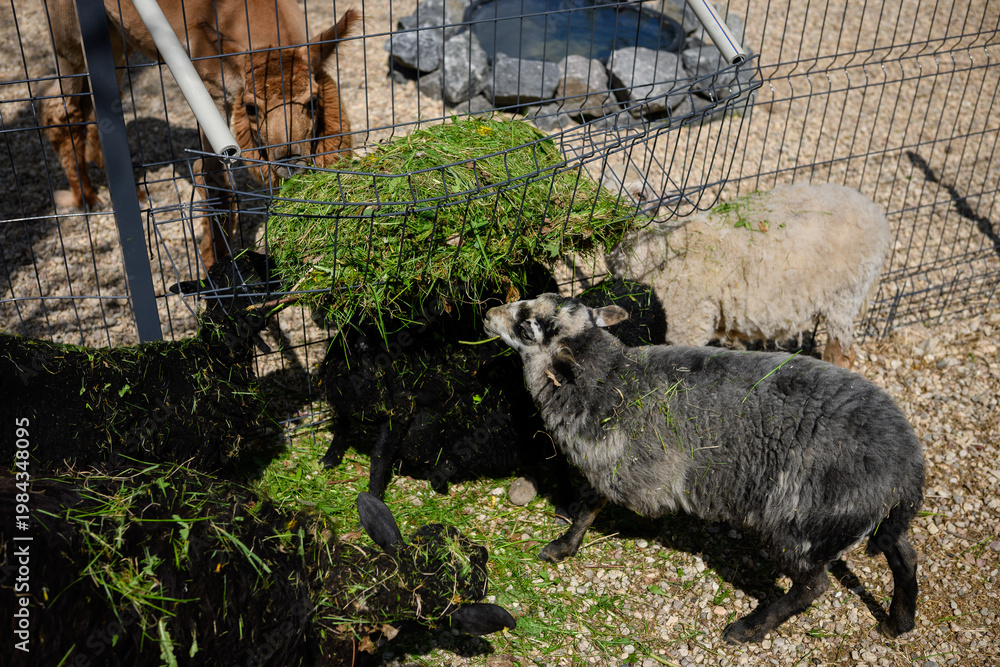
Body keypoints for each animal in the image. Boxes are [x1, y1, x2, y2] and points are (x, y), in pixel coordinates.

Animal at [484, 293, 924, 643]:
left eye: (526, 328)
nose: (488, 313)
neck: (607, 382)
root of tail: (908, 466)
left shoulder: (612, 467)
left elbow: (589, 507)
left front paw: (562, 546)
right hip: (861, 520)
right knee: (904, 555)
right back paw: (898, 623)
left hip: (799, 525)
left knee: (812, 586)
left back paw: (749, 629)